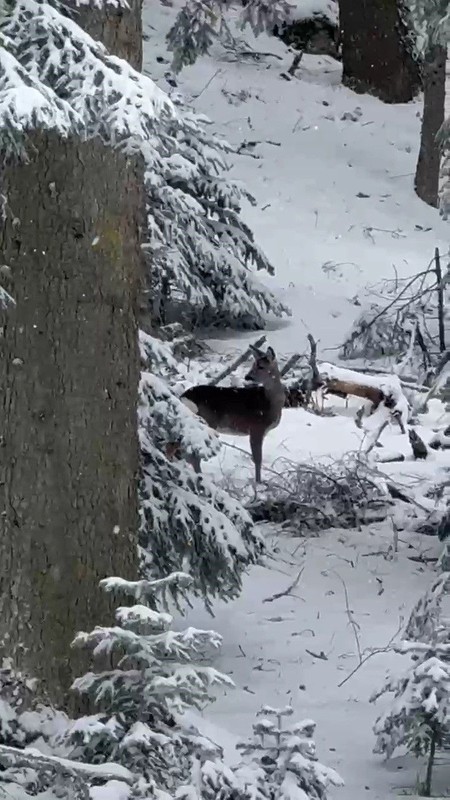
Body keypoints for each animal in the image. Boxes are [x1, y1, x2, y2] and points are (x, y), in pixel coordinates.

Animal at [179, 344, 284, 482]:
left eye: (261, 366)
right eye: (253, 364)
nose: (247, 377)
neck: (270, 402)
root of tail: (184, 396)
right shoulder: (256, 428)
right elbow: (257, 460)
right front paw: (258, 483)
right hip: (206, 422)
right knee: (194, 456)